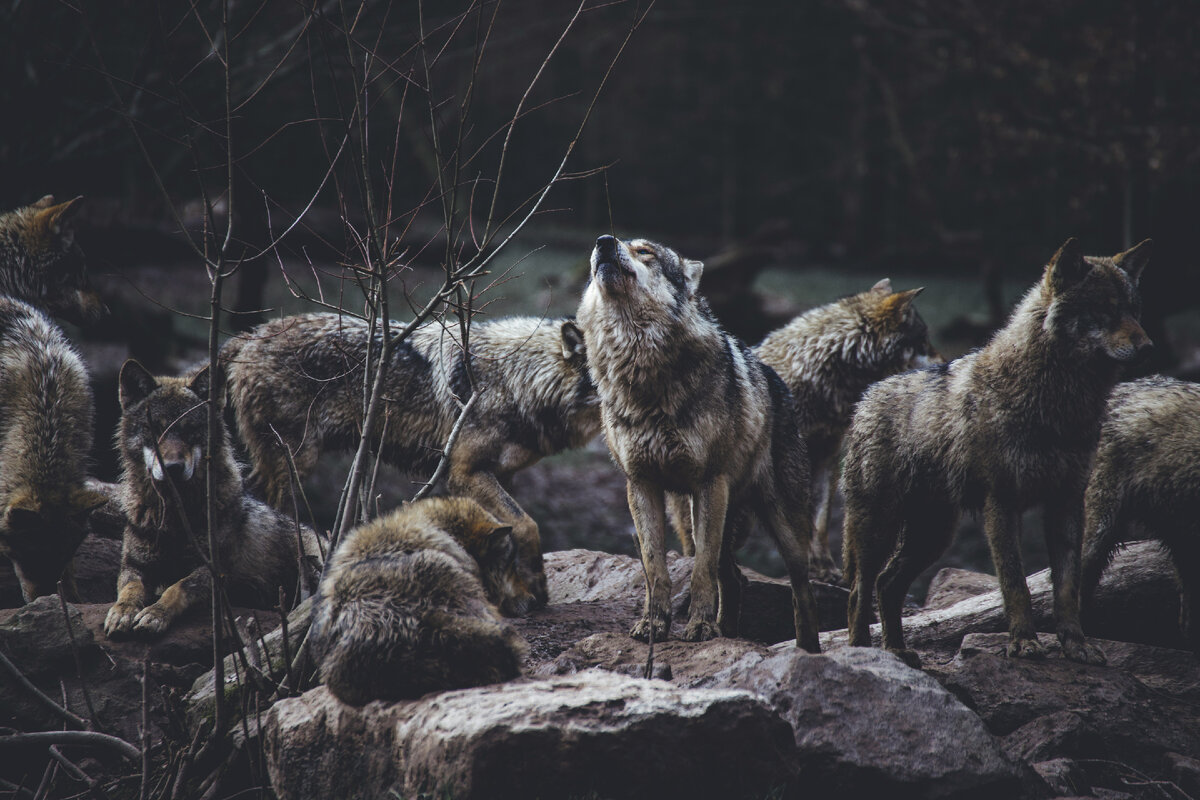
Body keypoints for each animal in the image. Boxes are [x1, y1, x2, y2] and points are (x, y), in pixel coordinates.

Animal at [104, 360, 326, 638]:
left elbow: (177, 588)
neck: (175, 517)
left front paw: (155, 614)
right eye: (155, 428)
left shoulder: (215, 572)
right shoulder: (134, 566)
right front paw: (122, 612)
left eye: (190, 430)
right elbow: (130, 589)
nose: (173, 467)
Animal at [221, 313, 599, 611]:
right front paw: (536, 588)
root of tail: (248, 335)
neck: (517, 379)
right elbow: (527, 524)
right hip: (295, 464)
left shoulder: (501, 475)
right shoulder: (464, 472)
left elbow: (510, 531)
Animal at [576, 234, 820, 650]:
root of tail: (777, 380)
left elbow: (700, 571)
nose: (604, 242)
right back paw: (729, 633)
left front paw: (701, 628)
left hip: (780, 525)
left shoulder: (709, 482)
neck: (642, 372)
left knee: (800, 591)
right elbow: (655, 569)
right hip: (691, 517)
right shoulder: (641, 485)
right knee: (734, 578)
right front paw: (654, 625)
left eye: (645, 251)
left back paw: (807, 650)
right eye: (609, 244)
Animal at [842, 238, 1152, 667]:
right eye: (1105, 310)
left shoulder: (1067, 503)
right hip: (879, 528)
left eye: (1134, 310)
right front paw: (1023, 643)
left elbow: (1067, 588)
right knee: (860, 588)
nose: (1148, 347)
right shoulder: (1002, 503)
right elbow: (1015, 583)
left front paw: (1076, 645)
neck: (1057, 404)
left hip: (933, 536)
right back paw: (863, 652)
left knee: (887, 584)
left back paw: (898, 652)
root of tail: (868, 395)